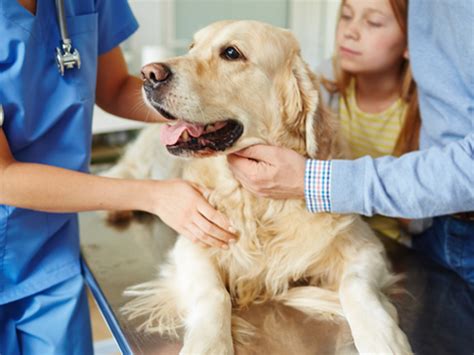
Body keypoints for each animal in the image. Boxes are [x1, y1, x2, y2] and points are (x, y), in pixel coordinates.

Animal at [103, 20, 412, 355]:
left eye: (231, 53)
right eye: (192, 47)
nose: (148, 74)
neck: (258, 204)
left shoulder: (366, 246)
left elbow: (355, 286)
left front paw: (385, 338)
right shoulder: (193, 242)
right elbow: (215, 294)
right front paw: (209, 344)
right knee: (121, 173)